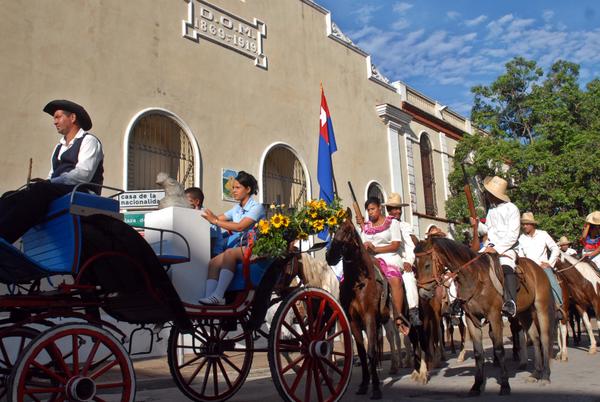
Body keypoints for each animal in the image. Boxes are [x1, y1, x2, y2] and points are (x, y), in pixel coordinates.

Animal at [326, 210, 392, 398]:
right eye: (335, 230)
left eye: (348, 231)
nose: (330, 256)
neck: (357, 283)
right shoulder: (354, 321)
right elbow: (362, 353)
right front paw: (364, 384)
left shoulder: (369, 317)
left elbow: (370, 351)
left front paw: (376, 388)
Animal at [414, 236, 556, 396]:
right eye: (414, 266)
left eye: (427, 265)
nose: (423, 294)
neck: (474, 278)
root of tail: (538, 268)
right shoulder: (471, 319)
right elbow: (478, 353)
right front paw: (477, 385)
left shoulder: (494, 316)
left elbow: (499, 350)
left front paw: (505, 385)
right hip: (523, 313)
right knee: (536, 338)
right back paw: (536, 373)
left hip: (541, 308)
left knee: (544, 338)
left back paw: (545, 375)